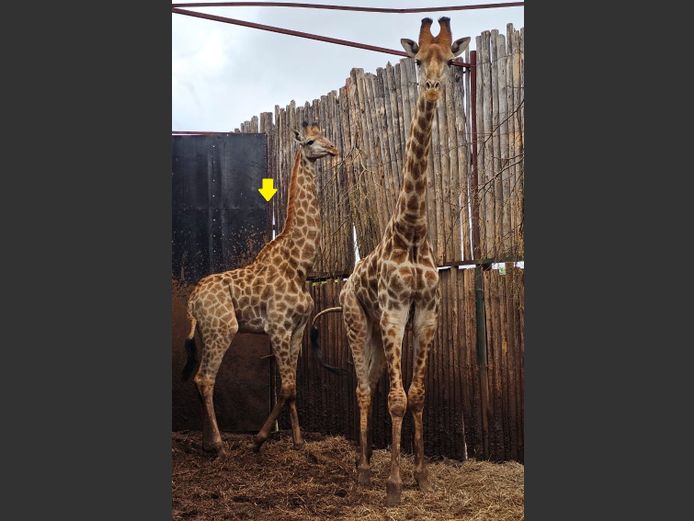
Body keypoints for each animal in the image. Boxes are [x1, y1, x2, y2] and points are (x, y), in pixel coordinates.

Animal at [182, 121, 338, 456]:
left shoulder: (297, 329)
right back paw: (219, 446)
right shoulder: (277, 327)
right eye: (309, 142)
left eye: (323, 135)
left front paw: (298, 441)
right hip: (223, 328)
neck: (299, 264)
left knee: (201, 379)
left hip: (206, 331)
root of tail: (191, 301)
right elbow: (288, 386)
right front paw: (259, 439)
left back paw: (206, 443)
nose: (333, 149)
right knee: (204, 378)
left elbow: (291, 387)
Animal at [311, 18, 470, 506]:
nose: (433, 89)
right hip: (358, 322)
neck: (412, 232)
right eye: (417, 60)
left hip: (378, 337)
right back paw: (363, 473)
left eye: (451, 60)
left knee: (375, 382)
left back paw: (367, 464)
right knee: (364, 390)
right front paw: (395, 486)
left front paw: (421, 476)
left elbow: (416, 395)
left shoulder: (427, 314)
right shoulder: (394, 313)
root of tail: (343, 286)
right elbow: (396, 399)